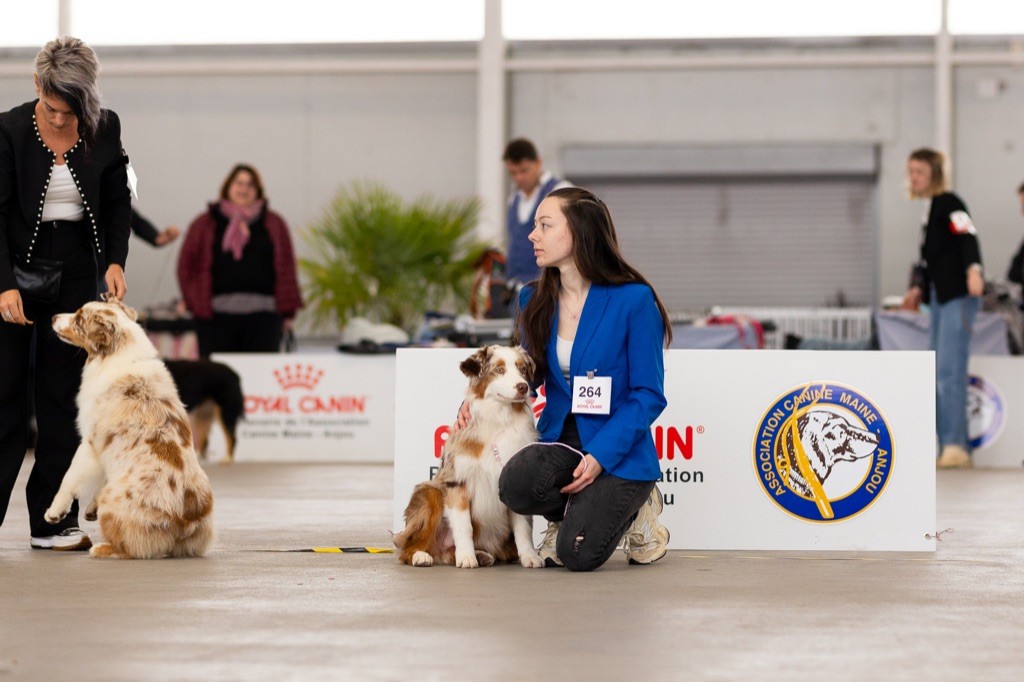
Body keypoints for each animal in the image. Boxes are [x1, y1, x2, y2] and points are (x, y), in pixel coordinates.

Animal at [46, 299, 214, 557]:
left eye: (79, 319)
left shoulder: (89, 442)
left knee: (131, 548)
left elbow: (69, 477)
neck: (120, 355)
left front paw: (55, 511)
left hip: (116, 502)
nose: (53, 317)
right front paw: (91, 507)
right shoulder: (107, 447)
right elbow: (103, 476)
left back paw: (101, 548)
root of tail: (183, 521)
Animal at [391, 342, 544, 565]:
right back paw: (422, 555)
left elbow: (523, 528)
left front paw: (530, 557)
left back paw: (482, 555)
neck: (498, 419)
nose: (523, 386)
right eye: (499, 370)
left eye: (523, 369)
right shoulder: (457, 482)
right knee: (408, 548)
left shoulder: (516, 481)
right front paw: (466, 557)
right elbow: (465, 527)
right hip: (431, 494)